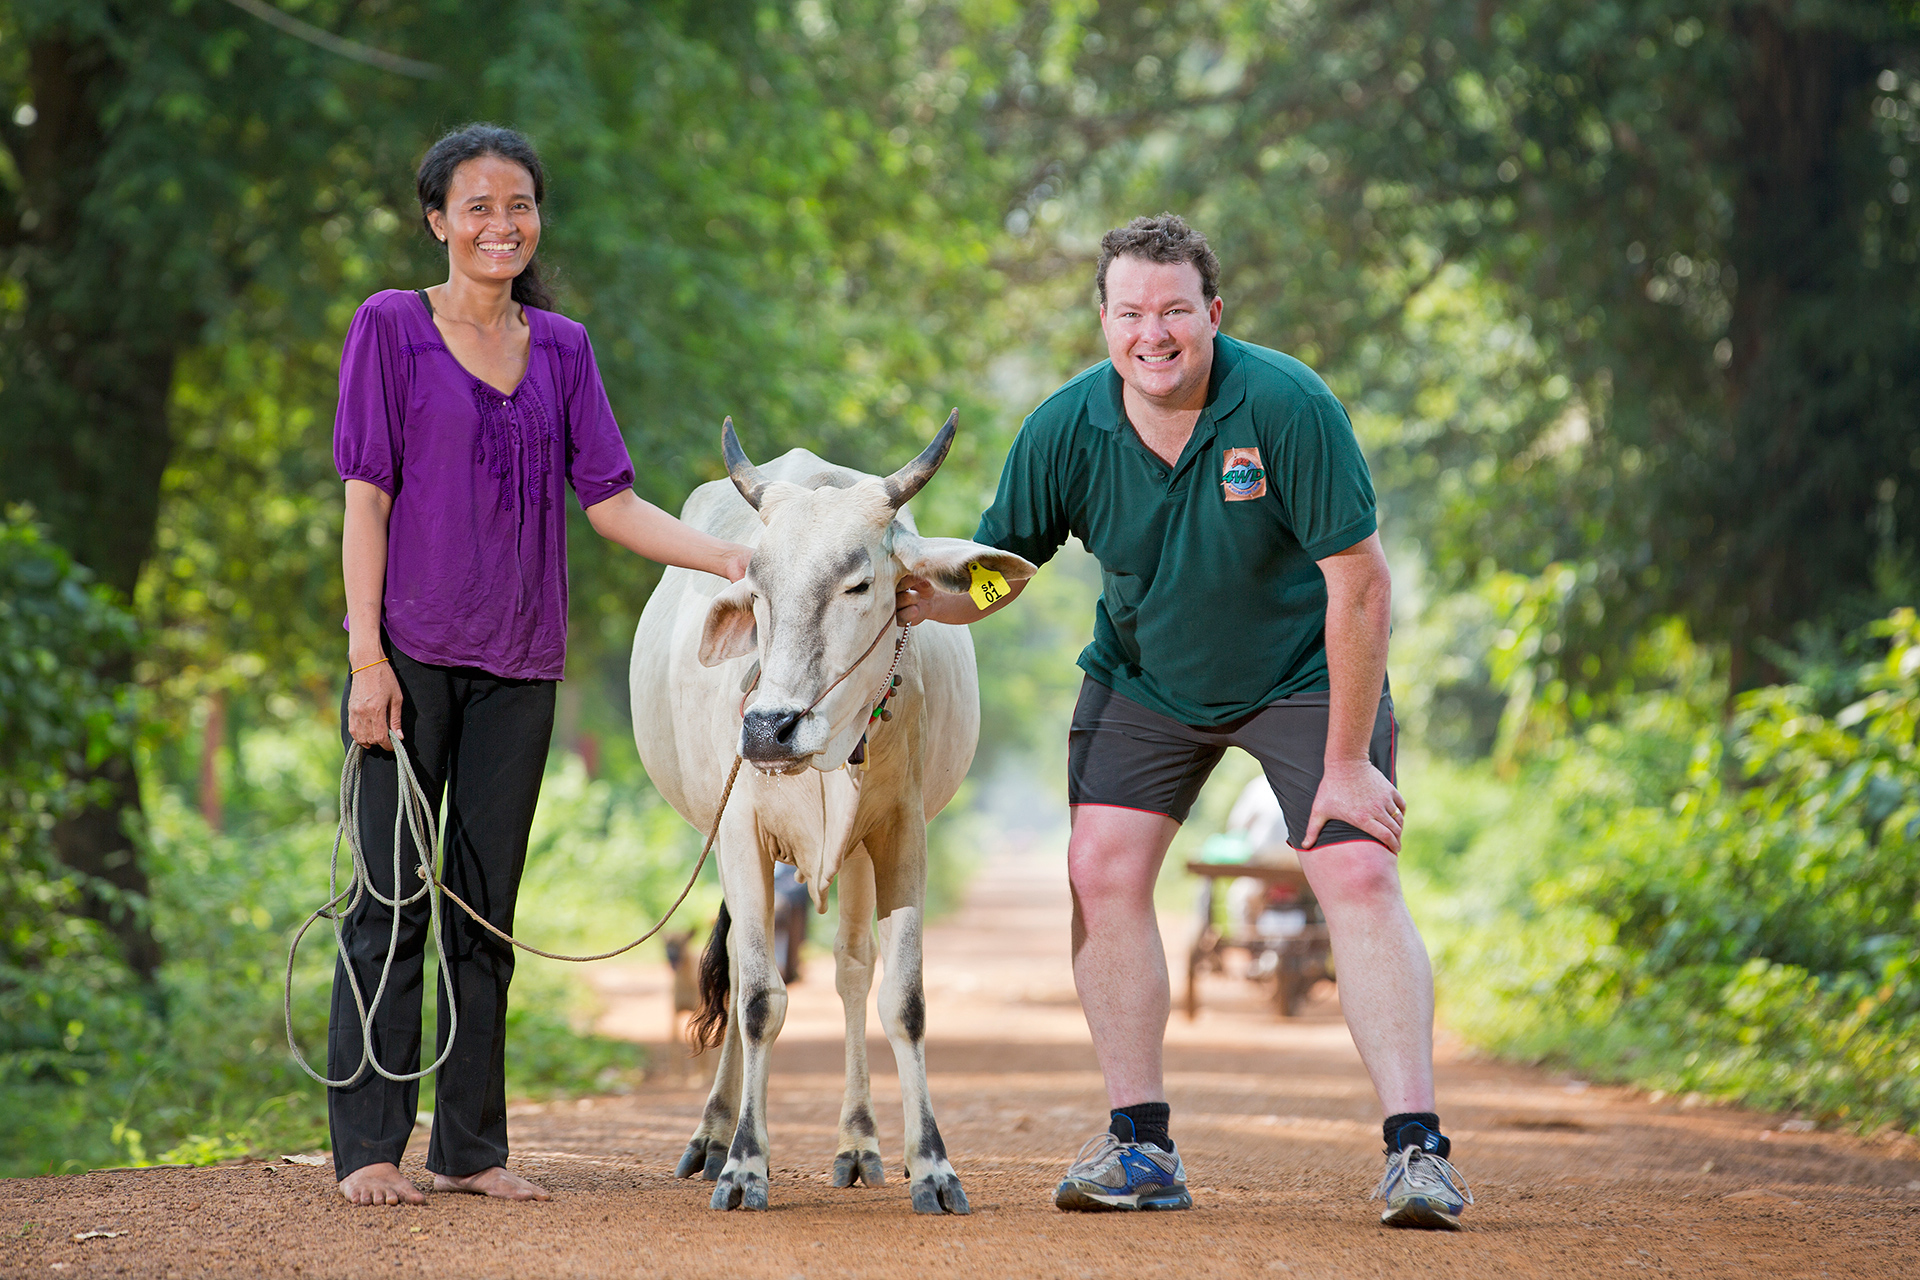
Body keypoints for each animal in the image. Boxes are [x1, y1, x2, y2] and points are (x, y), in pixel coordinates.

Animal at [633, 418, 1036, 1212]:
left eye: (859, 583)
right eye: (757, 588)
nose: (768, 728)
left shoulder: (902, 832)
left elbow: (903, 1000)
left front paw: (932, 1165)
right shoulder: (739, 835)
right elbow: (759, 999)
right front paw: (745, 1165)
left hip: (855, 858)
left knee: (853, 970)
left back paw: (858, 1143)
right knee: (742, 967)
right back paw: (713, 1136)